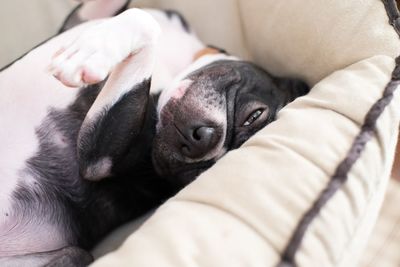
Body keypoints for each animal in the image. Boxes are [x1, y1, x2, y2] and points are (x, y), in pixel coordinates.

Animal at [0, 1, 310, 266]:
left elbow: (144, 21)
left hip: (73, 251)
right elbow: (136, 13)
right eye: (253, 116)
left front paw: (90, 54)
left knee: (77, 255)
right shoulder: (82, 18)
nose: (202, 141)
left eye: (198, 175)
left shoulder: (97, 159)